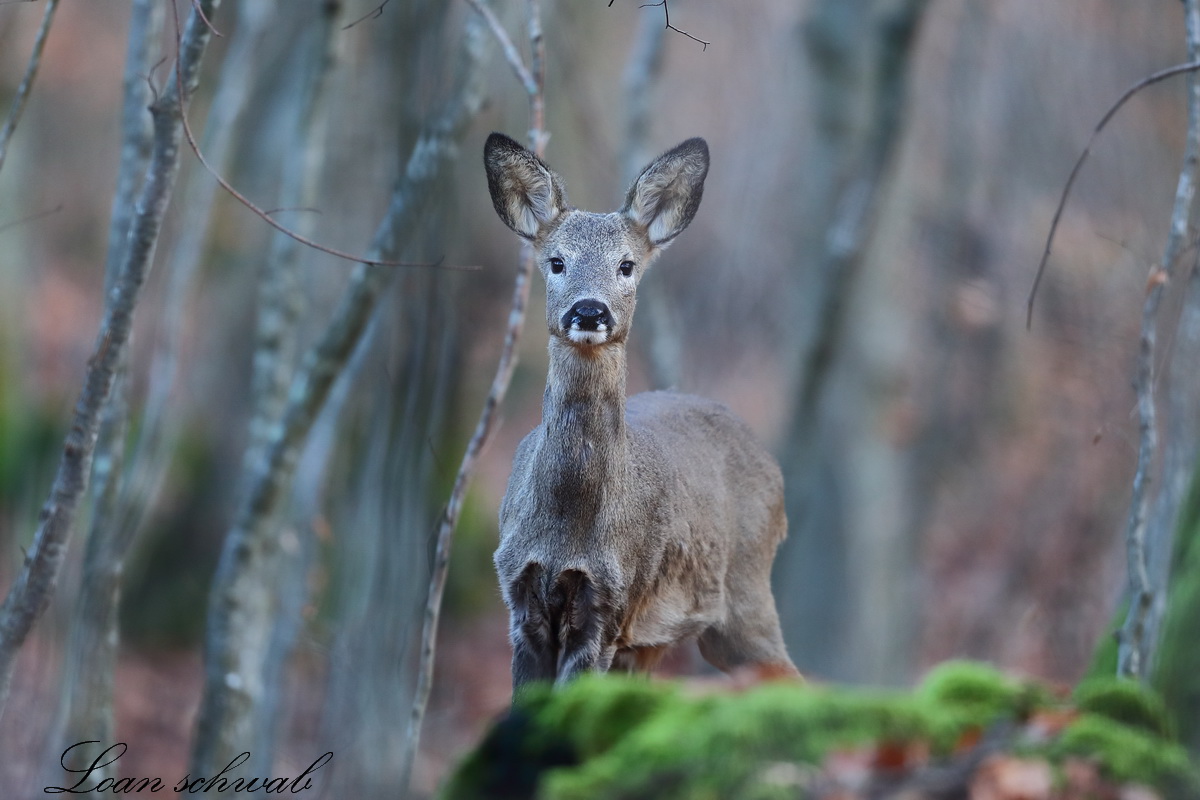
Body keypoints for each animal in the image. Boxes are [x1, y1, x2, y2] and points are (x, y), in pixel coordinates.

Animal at [482, 134, 801, 690]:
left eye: (626, 265)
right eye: (556, 261)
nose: (589, 311)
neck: (567, 528)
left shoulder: (610, 603)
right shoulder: (519, 591)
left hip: (743, 596)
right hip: (655, 641)